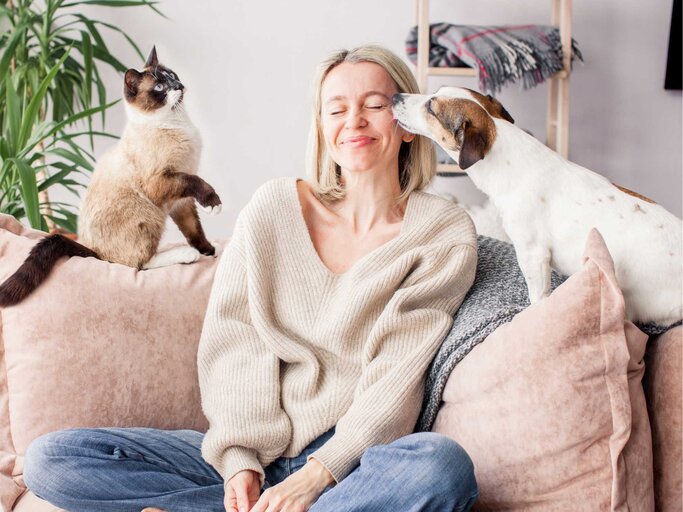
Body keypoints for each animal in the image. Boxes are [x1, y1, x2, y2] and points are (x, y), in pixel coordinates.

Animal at [0, 46, 220, 306]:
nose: (179, 85)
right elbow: (197, 183)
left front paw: (210, 251)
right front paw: (213, 205)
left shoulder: (181, 201)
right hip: (149, 213)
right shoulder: (165, 182)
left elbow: (194, 229)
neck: (177, 123)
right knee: (136, 264)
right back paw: (186, 256)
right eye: (159, 87)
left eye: (172, 76)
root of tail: (94, 253)